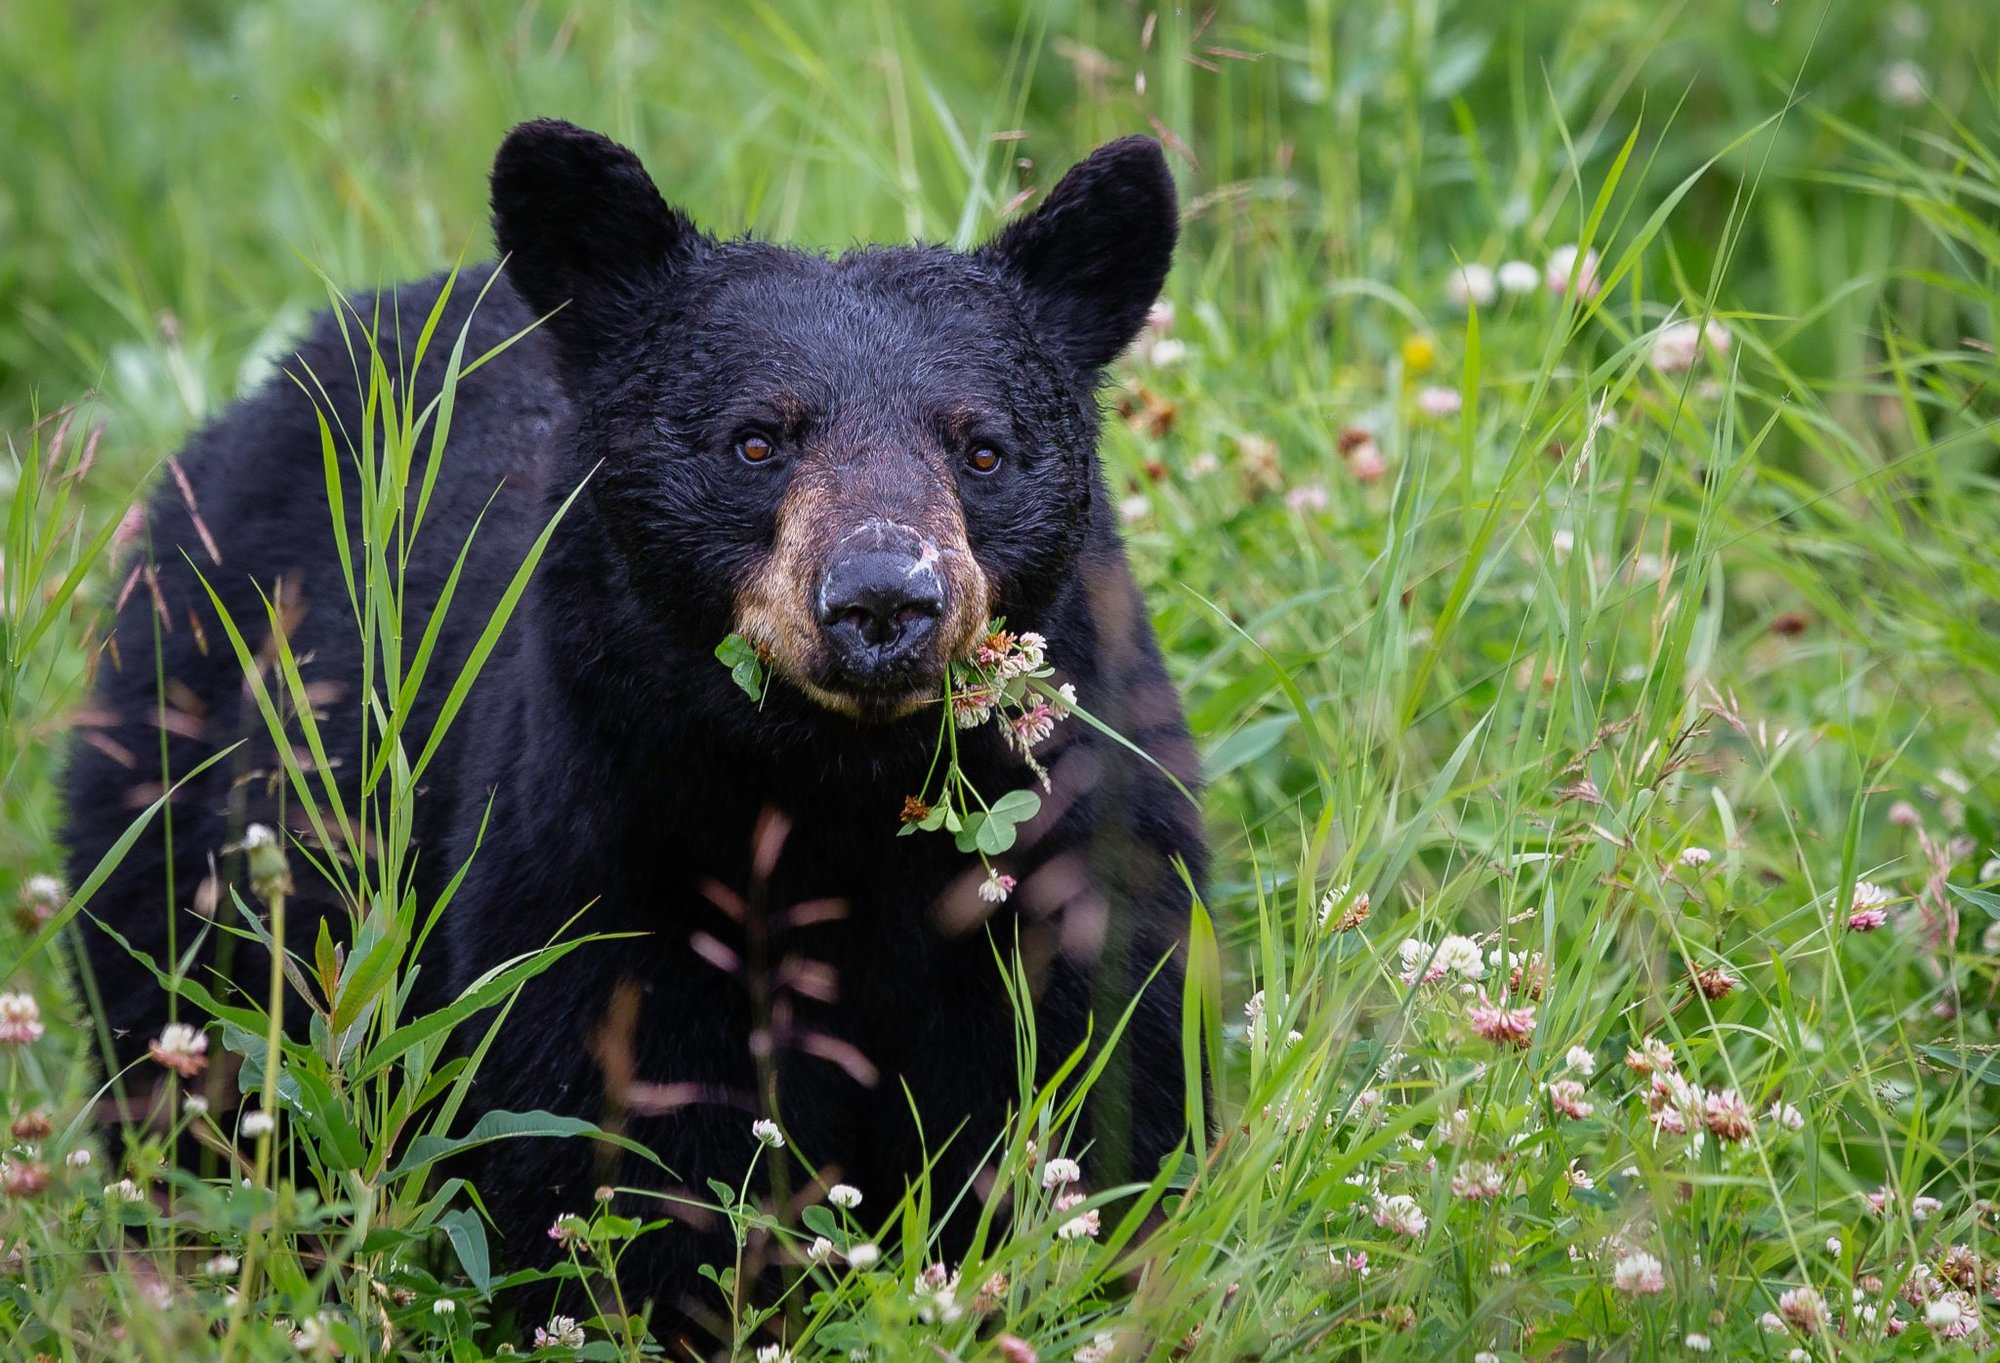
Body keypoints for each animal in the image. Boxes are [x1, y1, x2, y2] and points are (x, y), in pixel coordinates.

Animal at [66, 121, 1200, 1319]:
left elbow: (1100, 1093)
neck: (837, 792)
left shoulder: (1075, 855)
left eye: (981, 448)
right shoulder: (602, 854)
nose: (882, 599)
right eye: (756, 441)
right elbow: (612, 1139)